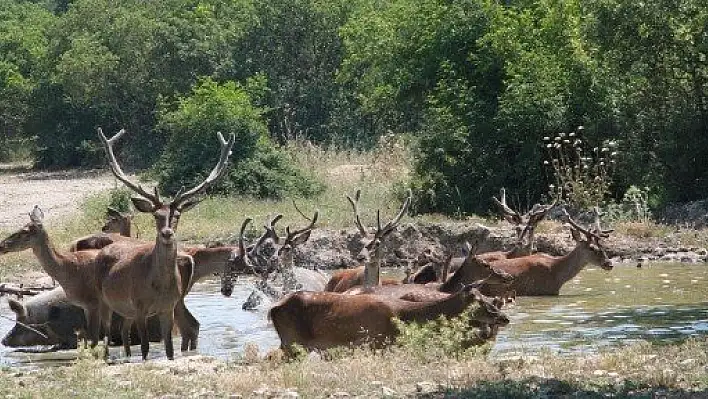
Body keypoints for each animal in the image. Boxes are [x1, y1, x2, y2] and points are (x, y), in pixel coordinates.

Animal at [94, 127, 235, 360]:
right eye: (156, 215)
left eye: (176, 215)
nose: (167, 233)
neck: (159, 286)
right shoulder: (140, 306)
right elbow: (145, 347)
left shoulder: (167, 307)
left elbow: (169, 349)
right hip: (104, 300)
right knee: (104, 334)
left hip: (129, 310)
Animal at [268, 284, 506, 354]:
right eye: (479, 301)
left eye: (490, 298)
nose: (504, 318)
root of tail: (272, 309)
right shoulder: (377, 342)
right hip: (292, 341)